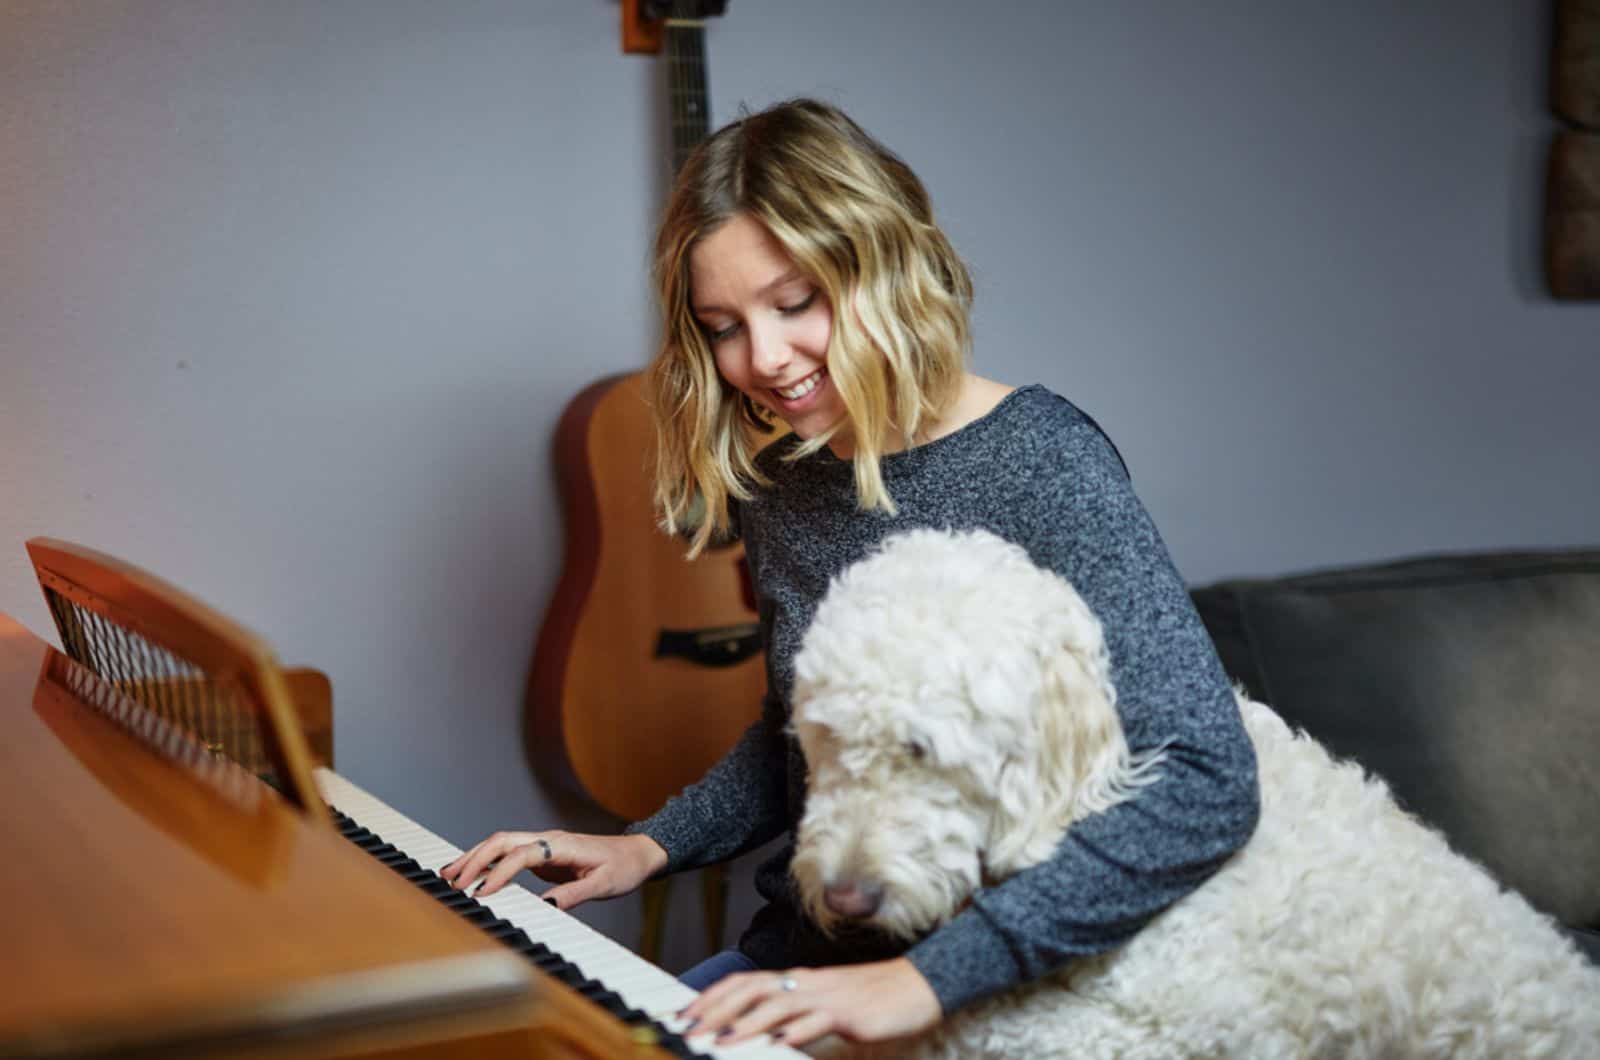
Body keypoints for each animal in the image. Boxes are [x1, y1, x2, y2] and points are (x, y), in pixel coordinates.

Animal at [790, 531, 1600, 1060]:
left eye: (920, 749)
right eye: (826, 738)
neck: (1099, 809)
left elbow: (961, 1029)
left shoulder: (1192, 1032)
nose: (844, 898)